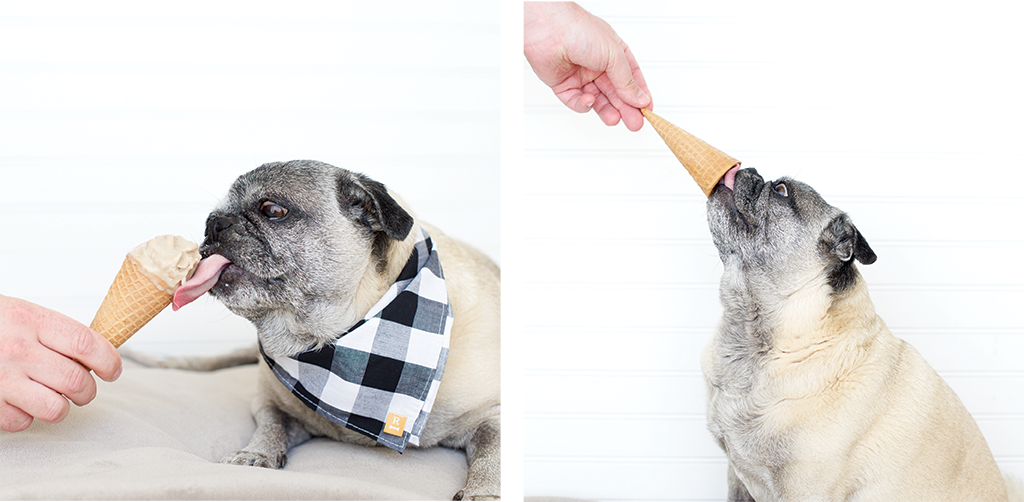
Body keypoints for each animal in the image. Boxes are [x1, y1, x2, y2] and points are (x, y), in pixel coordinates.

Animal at [172, 160, 499, 501]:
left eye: (273, 210)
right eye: (214, 214)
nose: (214, 223)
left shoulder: (496, 415)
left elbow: (493, 451)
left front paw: (483, 492)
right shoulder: (269, 404)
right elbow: (271, 426)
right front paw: (256, 453)